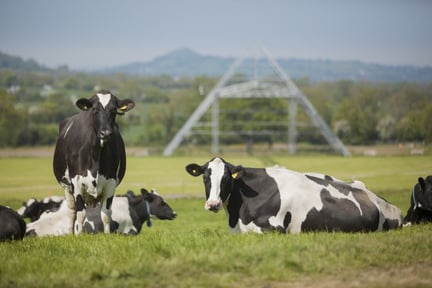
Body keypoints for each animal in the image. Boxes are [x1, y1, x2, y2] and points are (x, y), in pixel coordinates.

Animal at [54, 90, 135, 234]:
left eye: (113, 110)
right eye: (95, 109)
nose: (105, 133)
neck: (96, 154)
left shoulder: (110, 183)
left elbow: (106, 214)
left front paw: (107, 234)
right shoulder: (76, 183)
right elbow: (80, 214)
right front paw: (79, 235)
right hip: (67, 187)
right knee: (72, 212)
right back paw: (71, 233)